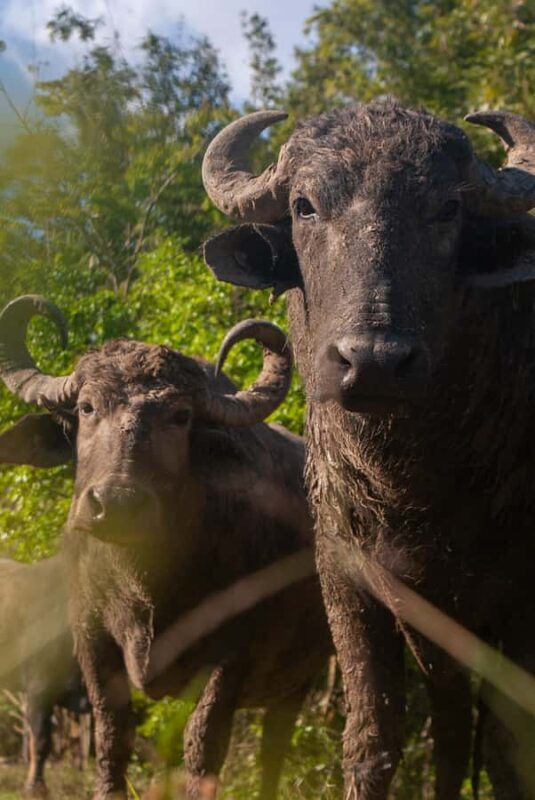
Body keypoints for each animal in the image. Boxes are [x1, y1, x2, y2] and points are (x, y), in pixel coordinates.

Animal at [202, 101, 535, 800]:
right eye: (304, 206)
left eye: (448, 208)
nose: (375, 361)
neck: (411, 488)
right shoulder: (346, 583)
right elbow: (372, 739)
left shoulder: (519, 604)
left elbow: (510, 749)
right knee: (451, 731)